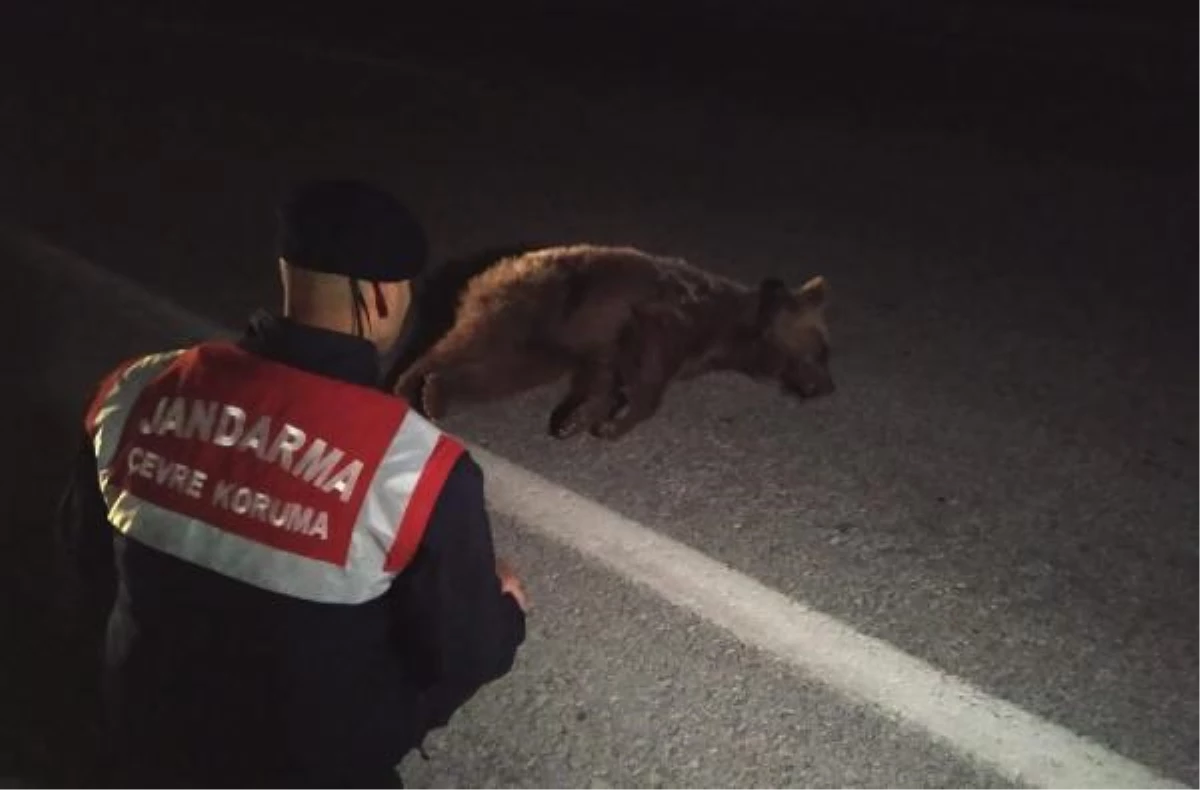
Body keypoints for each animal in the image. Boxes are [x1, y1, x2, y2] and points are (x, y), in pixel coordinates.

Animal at [386, 241, 835, 437]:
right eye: (819, 352)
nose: (830, 387)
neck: (723, 333)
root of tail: (493, 270)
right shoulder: (660, 323)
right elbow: (647, 385)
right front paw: (610, 423)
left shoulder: (604, 343)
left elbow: (602, 381)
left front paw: (578, 419)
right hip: (526, 314)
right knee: (472, 349)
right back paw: (419, 388)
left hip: (542, 345)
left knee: (491, 369)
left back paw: (426, 392)